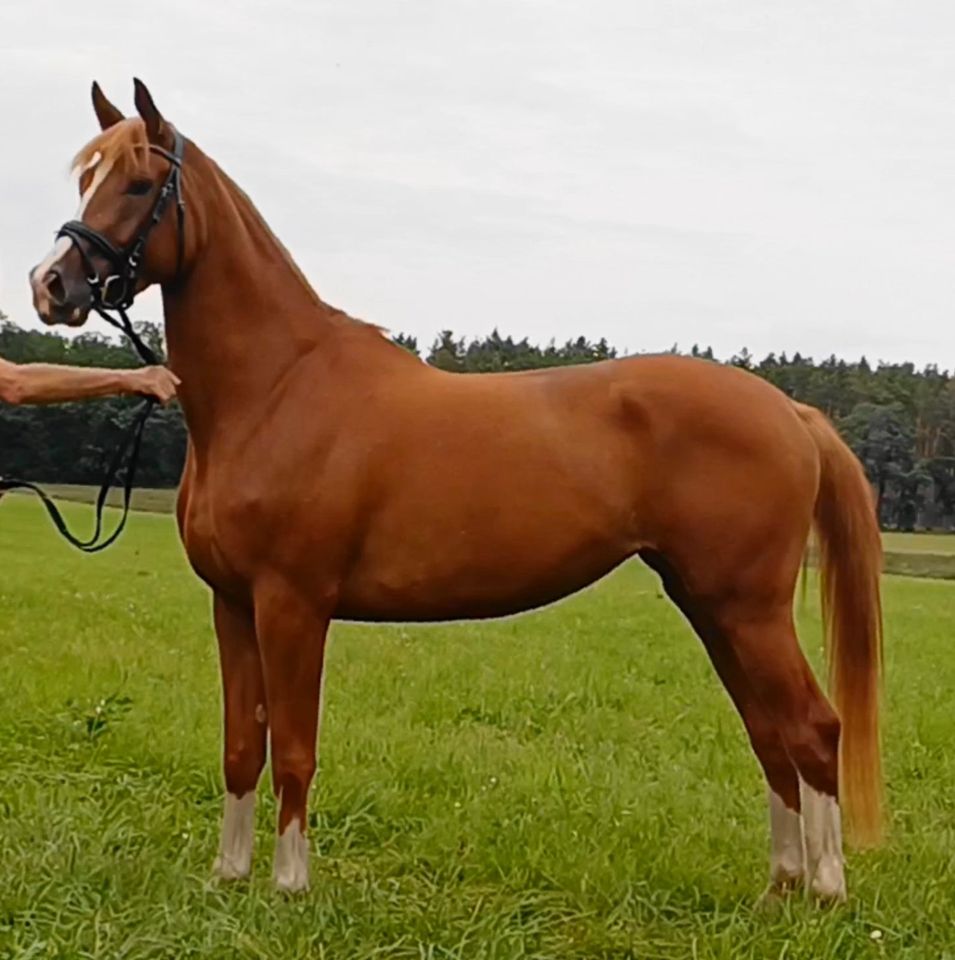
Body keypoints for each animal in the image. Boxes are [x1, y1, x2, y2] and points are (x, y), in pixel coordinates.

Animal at [28, 80, 880, 900]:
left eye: (140, 184)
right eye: (86, 179)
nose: (51, 285)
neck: (277, 386)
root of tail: (789, 411)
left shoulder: (292, 603)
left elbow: (295, 748)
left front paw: (289, 886)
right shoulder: (232, 603)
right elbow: (243, 746)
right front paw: (228, 876)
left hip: (748, 608)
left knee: (811, 727)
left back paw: (826, 889)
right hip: (709, 604)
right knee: (768, 732)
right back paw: (781, 884)